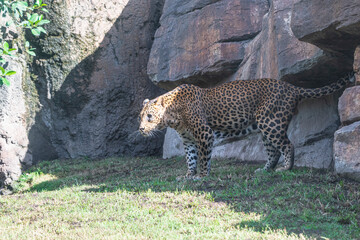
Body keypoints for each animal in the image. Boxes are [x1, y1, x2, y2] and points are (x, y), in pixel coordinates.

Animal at [138, 78, 352, 179]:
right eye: (140, 116)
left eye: (149, 116)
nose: (140, 129)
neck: (173, 116)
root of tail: (291, 87)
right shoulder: (189, 139)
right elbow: (190, 159)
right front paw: (188, 175)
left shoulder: (205, 134)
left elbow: (204, 157)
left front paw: (201, 176)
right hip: (266, 127)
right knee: (273, 151)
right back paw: (265, 170)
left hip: (271, 123)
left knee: (287, 145)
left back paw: (285, 168)